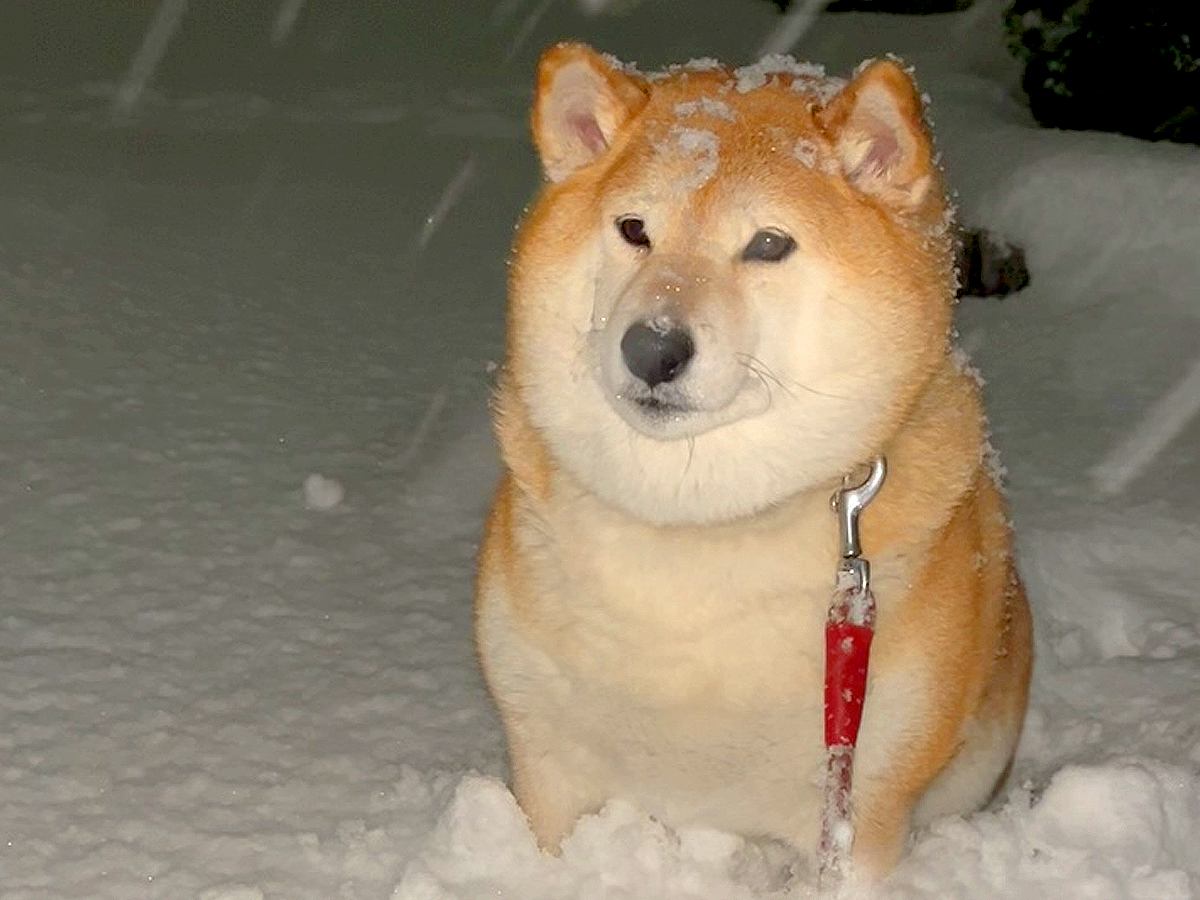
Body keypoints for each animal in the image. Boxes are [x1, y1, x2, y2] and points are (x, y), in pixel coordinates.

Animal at [475, 45, 1032, 883]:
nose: (652, 348)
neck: (700, 529)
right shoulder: (548, 773)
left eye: (768, 244)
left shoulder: (859, 804)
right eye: (633, 229)